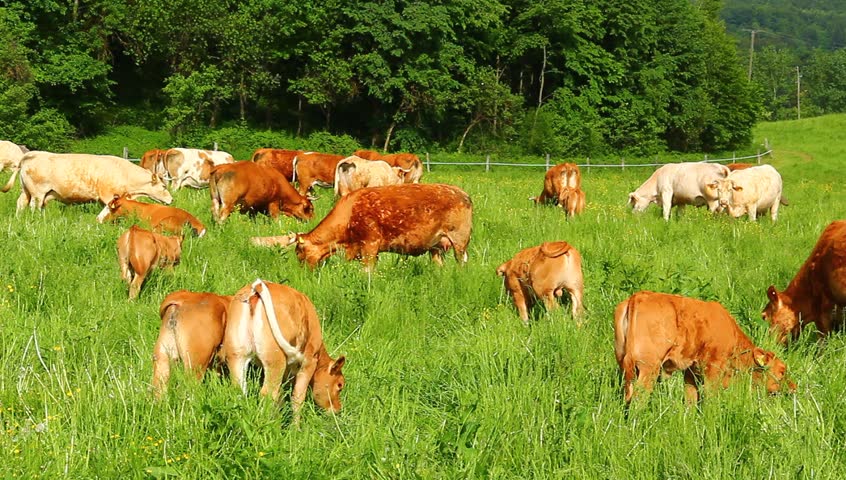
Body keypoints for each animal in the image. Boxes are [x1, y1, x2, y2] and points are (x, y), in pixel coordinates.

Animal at [6, 152, 173, 212]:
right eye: (164, 186)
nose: (172, 199)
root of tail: (32, 154)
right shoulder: (108, 195)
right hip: (38, 193)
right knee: (34, 206)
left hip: (26, 191)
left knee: (21, 203)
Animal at [224, 279, 346, 421]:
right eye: (340, 385)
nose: (337, 409)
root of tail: (258, 286)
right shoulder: (309, 361)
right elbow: (297, 397)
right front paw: (295, 426)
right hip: (275, 360)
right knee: (267, 393)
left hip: (236, 355)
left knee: (239, 389)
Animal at [252, 183, 473, 270]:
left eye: (299, 252)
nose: (302, 271)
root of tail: (461, 192)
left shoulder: (370, 245)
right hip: (436, 246)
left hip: (459, 242)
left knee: (462, 262)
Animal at [614, 291, 795, 404]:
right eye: (782, 371)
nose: (793, 388)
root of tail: (638, 296)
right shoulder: (713, 370)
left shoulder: (691, 372)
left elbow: (691, 400)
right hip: (648, 368)